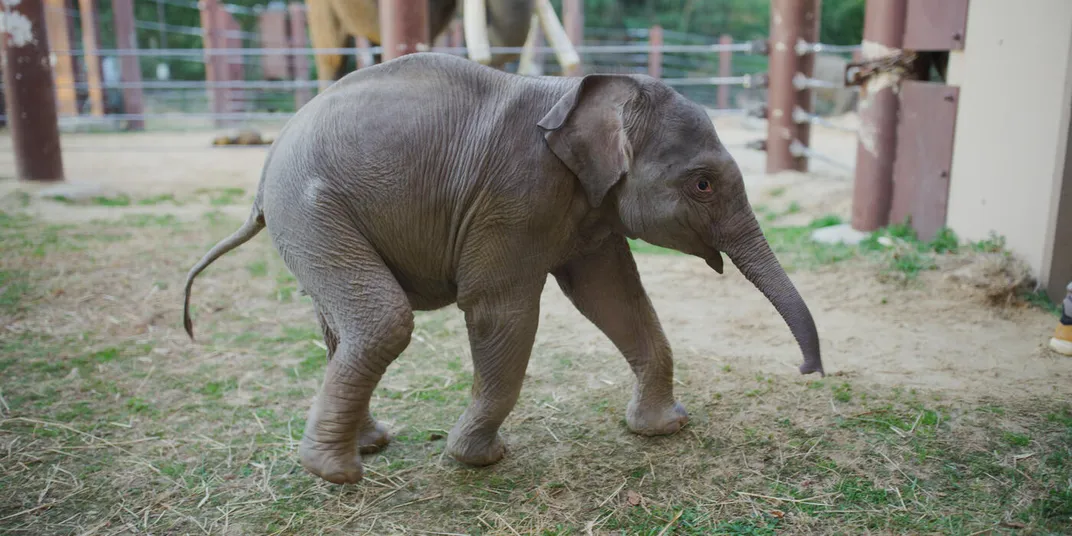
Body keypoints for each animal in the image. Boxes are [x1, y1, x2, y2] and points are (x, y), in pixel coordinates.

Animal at [182, 52, 824, 485]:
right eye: (703, 184)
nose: (807, 371)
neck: (581, 93)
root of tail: (267, 167)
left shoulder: (588, 205)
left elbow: (611, 296)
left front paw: (665, 428)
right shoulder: (516, 195)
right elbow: (501, 311)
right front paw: (480, 460)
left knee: (342, 326)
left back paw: (369, 445)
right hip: (312, 210)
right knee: (382, 321)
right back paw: (335, 471)